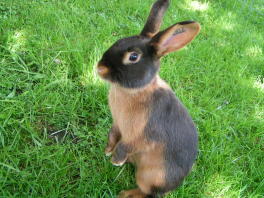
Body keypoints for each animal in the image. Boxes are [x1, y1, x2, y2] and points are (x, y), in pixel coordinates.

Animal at [97, 0, 200, 197]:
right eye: (119, 41)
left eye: (133, 57)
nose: (100, 68)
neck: (137, 91)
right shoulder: (117, 123)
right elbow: (113, 134)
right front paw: (107, 150)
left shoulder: (140, 137)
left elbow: (125, 146)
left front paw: (115, 160)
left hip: (149, 176)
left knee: (149, 192)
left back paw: (126, 193)